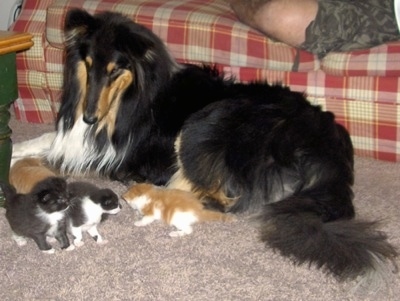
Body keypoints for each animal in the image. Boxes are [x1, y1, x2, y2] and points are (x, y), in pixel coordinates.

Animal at [12, 8, 396, 284]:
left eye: (115, 70)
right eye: (89, 65)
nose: (89, 117)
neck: (132, 98)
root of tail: (329, 145)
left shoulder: (119, 154)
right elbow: (47, 139)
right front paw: (16, 147)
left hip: (205, 124)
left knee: (223, 196)